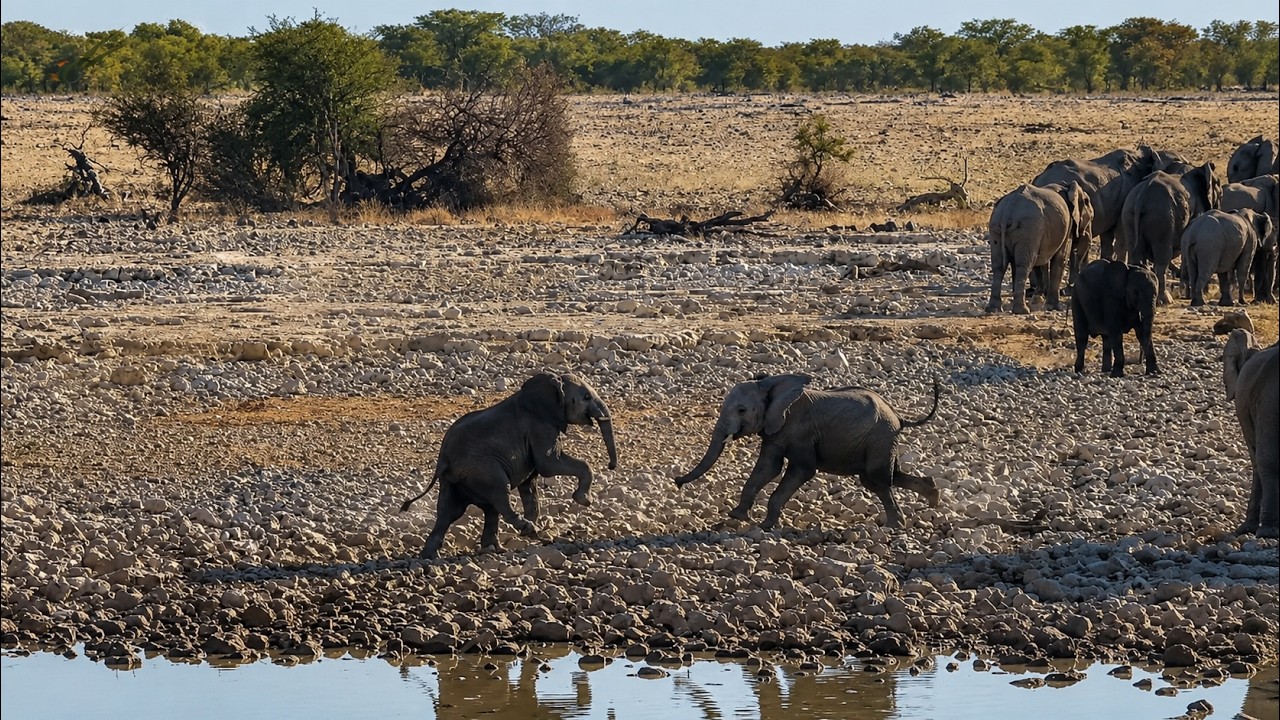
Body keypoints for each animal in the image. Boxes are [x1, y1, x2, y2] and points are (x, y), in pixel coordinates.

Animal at [400, 372, 618, 559]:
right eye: (587, 397)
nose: (611, 466)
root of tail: (443, 459)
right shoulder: (541, 426)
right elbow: (549, 464)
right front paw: (584, 500)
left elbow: (529, 484)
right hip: (483, 469)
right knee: (498, 495)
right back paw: (528, 530)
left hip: (458, 479)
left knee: (454, 511)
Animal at [673, 373, 941, 531]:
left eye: (741, 410)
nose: (677, 482)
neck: (770, 384)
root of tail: (899, 417)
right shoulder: (775, 430)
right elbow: (767, 468)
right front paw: (738, 516)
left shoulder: (800, 430)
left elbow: (801, 470)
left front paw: (765, 526)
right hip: (882, 440)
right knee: (884, 476)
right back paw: (932, 497)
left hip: (879, 437)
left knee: (878, 480)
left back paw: (895, 526)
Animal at [987, 182, 1094, 314]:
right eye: (1091, 218)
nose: (1066, 290)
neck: (1067, 187)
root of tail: (1008, 209)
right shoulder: (1066, 225)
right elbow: (1060, 258)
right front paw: (1054, 307)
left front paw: (1039, 298)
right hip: (1028, 229)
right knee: (1024, 265)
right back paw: (1022, 310)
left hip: (996, 226)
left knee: (999, 266)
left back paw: (993, 309)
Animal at [1121, 161, 1222, 304]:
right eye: (1221, 193)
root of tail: (1142, 195)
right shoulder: (1197, 211)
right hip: (1162, 217)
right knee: (1162, 258)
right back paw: (1164, 300)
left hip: (1129, 214)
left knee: (1136, 254)